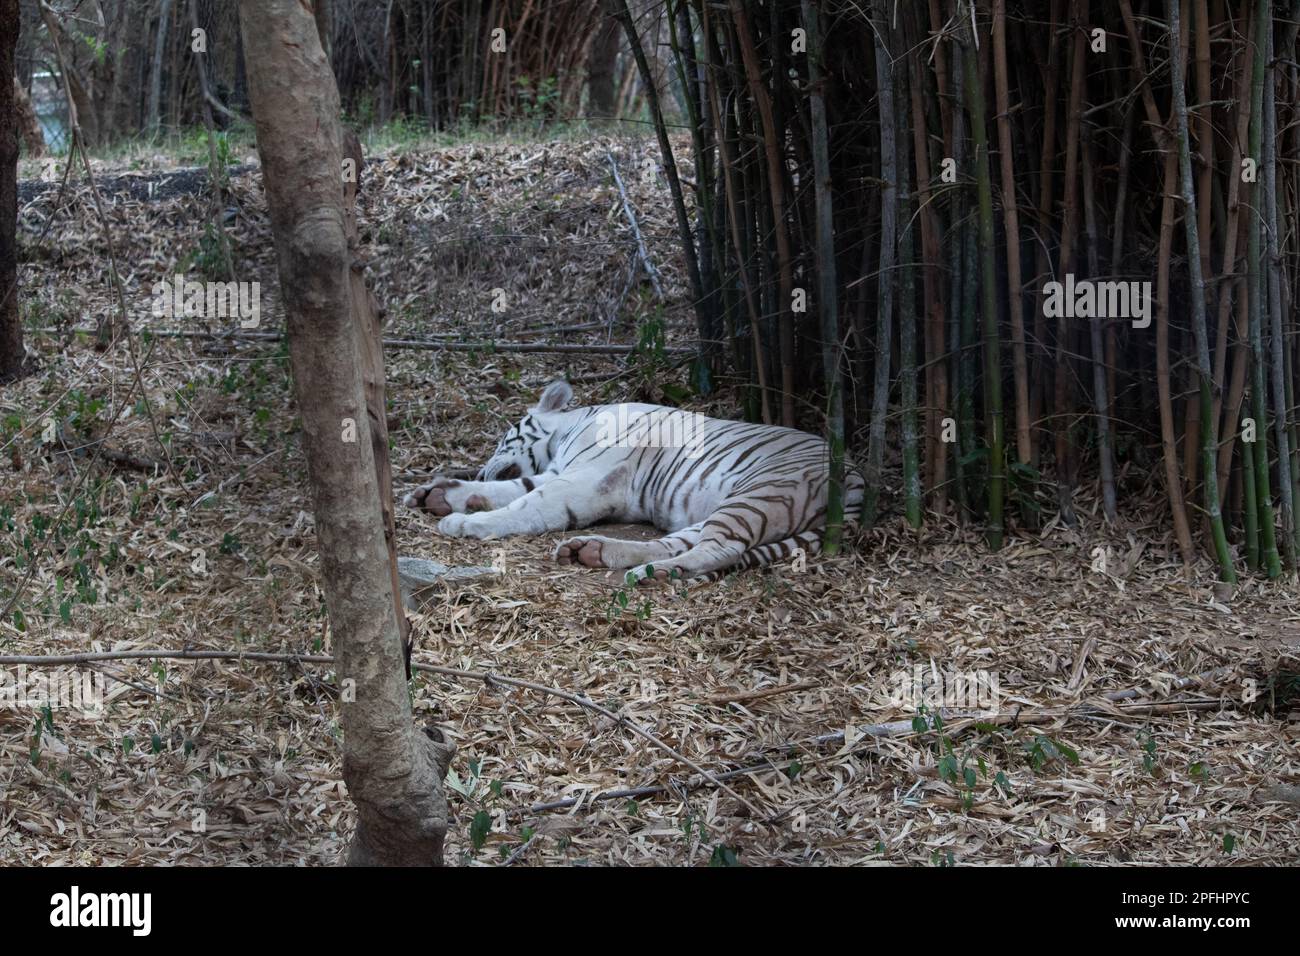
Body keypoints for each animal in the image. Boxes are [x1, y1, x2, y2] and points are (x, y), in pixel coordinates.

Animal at [400, 382, 857, 582]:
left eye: (504, 437)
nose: (479, 469)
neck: (566, 431)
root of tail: (856, 477)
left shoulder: (582, 482)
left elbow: (525, 505)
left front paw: (464, 522)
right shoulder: (557, 473)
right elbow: (513, 491)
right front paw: (440, 495)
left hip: (758, 496)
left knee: (722, 548)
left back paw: (654, 573)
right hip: (729, 508)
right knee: (680, 541)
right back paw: (596, 553)